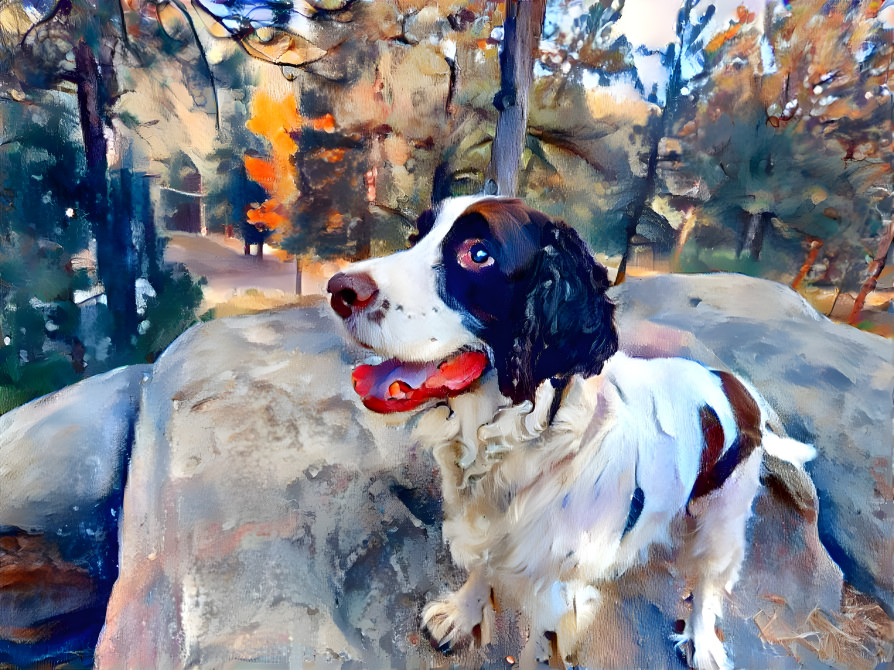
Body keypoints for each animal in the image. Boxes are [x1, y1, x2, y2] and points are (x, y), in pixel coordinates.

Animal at [326, 197, 816, 668]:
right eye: (416, 237)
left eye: (478, 254)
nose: (339, 290)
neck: (526, 444)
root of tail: (735, 385)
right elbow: (483, 569)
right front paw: (460, 616)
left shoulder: (559, 598)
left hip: (724, 518)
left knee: (709, 583)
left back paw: (703, 643)